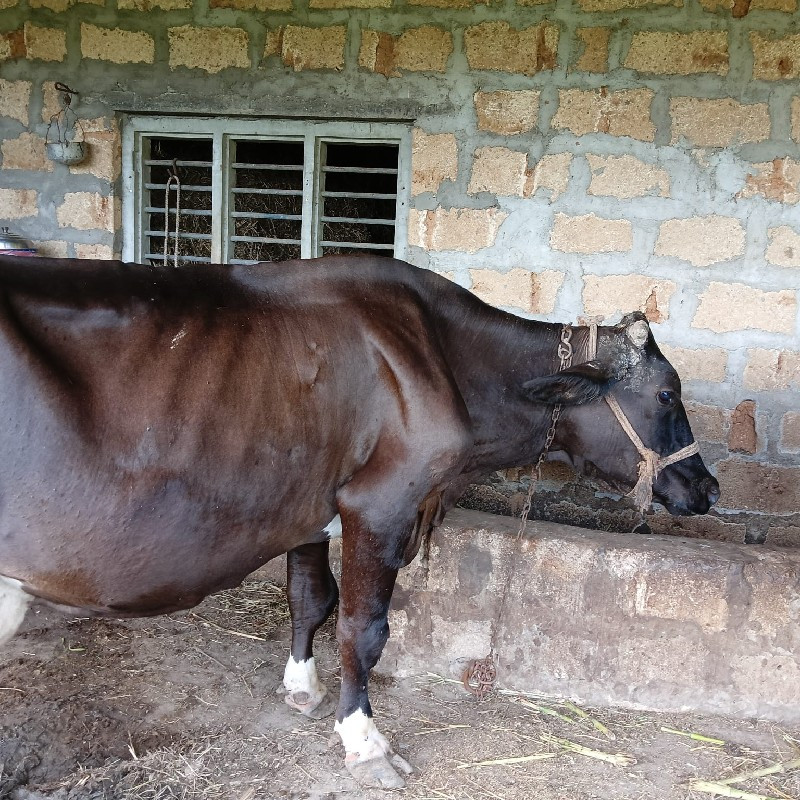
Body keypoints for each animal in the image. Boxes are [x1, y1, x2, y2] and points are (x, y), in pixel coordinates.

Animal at [0, 255, 720, 788]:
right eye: (667, 394)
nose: (709, 488)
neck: (449, 359)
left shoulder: (311, 505)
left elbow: (308, 598)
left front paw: (301, 687)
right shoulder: (380, 501)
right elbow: (362, 629)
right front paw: (365, 742)